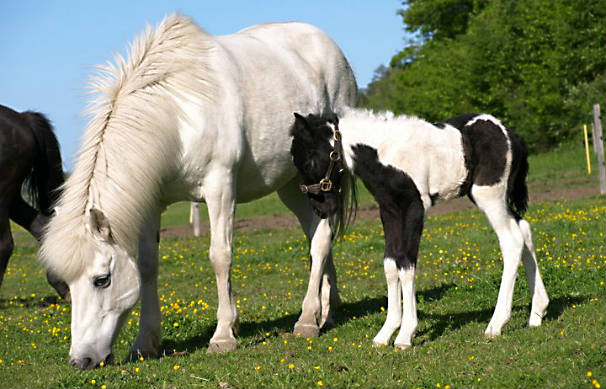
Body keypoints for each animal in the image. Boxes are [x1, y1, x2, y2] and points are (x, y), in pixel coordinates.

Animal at [40, 13, 358, 368]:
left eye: (102, 280)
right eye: (66, 283)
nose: (80, 360)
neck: (179, 115)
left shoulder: (220, 188)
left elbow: (221, 256)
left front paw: (223, 336)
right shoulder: (152, 202)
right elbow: (148, 266)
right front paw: (145, 343)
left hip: (324, 182)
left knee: (321, 239)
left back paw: (307, 320)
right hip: (294, 185)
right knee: (316, 237)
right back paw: (326, 312)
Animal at [290, 107, 552, 348]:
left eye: (310, 159)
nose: (321, 210)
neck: (386, 153)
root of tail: (512, 136)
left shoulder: (414, 208)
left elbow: (406, 264)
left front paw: (405, 335)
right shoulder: (389, 211)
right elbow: (390, 265)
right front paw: (385, 333)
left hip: (488, 195)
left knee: (512, 241)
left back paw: (496, 324)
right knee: (524, 229)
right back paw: (537, 313)